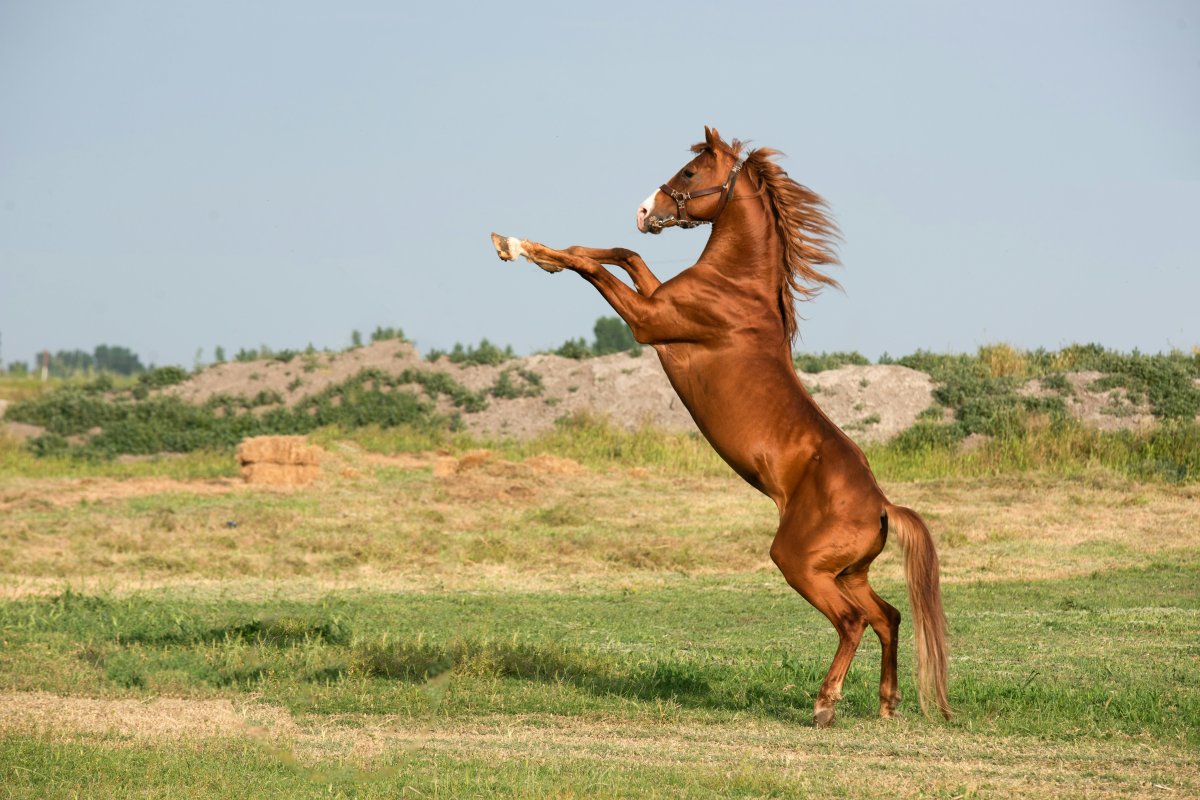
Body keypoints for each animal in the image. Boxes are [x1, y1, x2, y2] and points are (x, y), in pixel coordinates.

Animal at [490, 126, 950, 726]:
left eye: (689, 173)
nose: (645, 211)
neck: (736, 288)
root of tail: (882, 507)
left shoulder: (648, 322)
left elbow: (601, 267)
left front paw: (520, 248)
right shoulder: (654, 300)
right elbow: (622, 254)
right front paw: (525, 246)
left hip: (801, 566)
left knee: (853, 622)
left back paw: (824, 705)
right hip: (848, 573)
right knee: (888, 616)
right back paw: (887, 704)